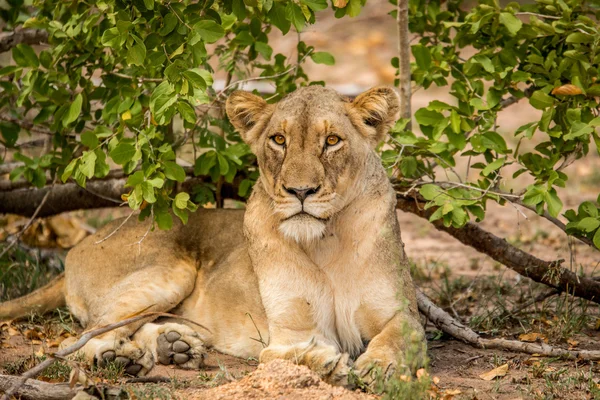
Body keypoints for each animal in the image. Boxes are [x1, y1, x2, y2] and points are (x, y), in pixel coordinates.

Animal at [0, 86, 426, 386]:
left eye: (333, 141)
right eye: (279, 140)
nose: (300, 192)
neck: (326, 241)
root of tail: (80, 244)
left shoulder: (401, 313)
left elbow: (397, 338)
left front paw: (377, 367)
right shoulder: (289, 333)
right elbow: (288, 355)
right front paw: (328, 365)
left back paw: (174, 346)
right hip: (171, 272)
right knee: (78, 341)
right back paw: (122, 358)